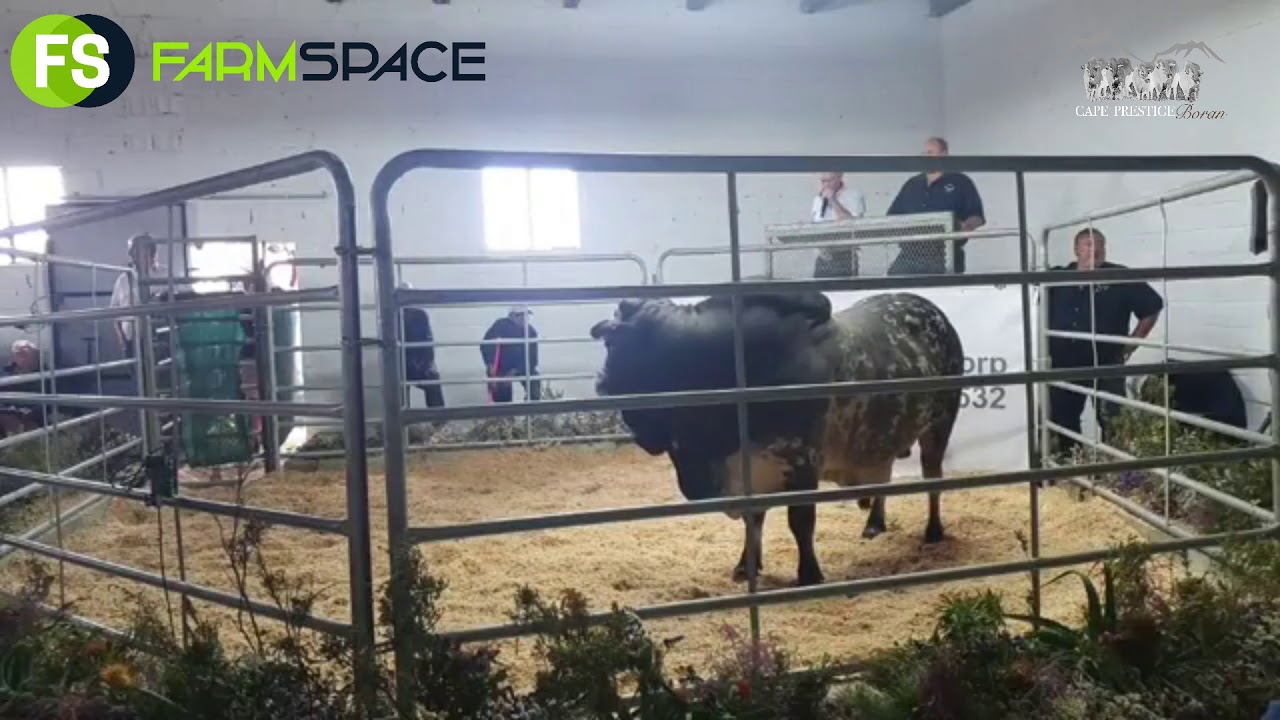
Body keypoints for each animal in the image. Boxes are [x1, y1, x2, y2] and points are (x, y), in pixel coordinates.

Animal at [588, 290, 966, 587]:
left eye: (615, 344)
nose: (600, 381)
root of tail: (936, 312)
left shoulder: (802, 461)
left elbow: (800, 522)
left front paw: (809, 574)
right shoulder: (754, 471)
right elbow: (753, 523)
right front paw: (746, 566)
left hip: (939, 426)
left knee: (933, 479)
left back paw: (933, 531)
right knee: (884, 476)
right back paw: (874, 524)